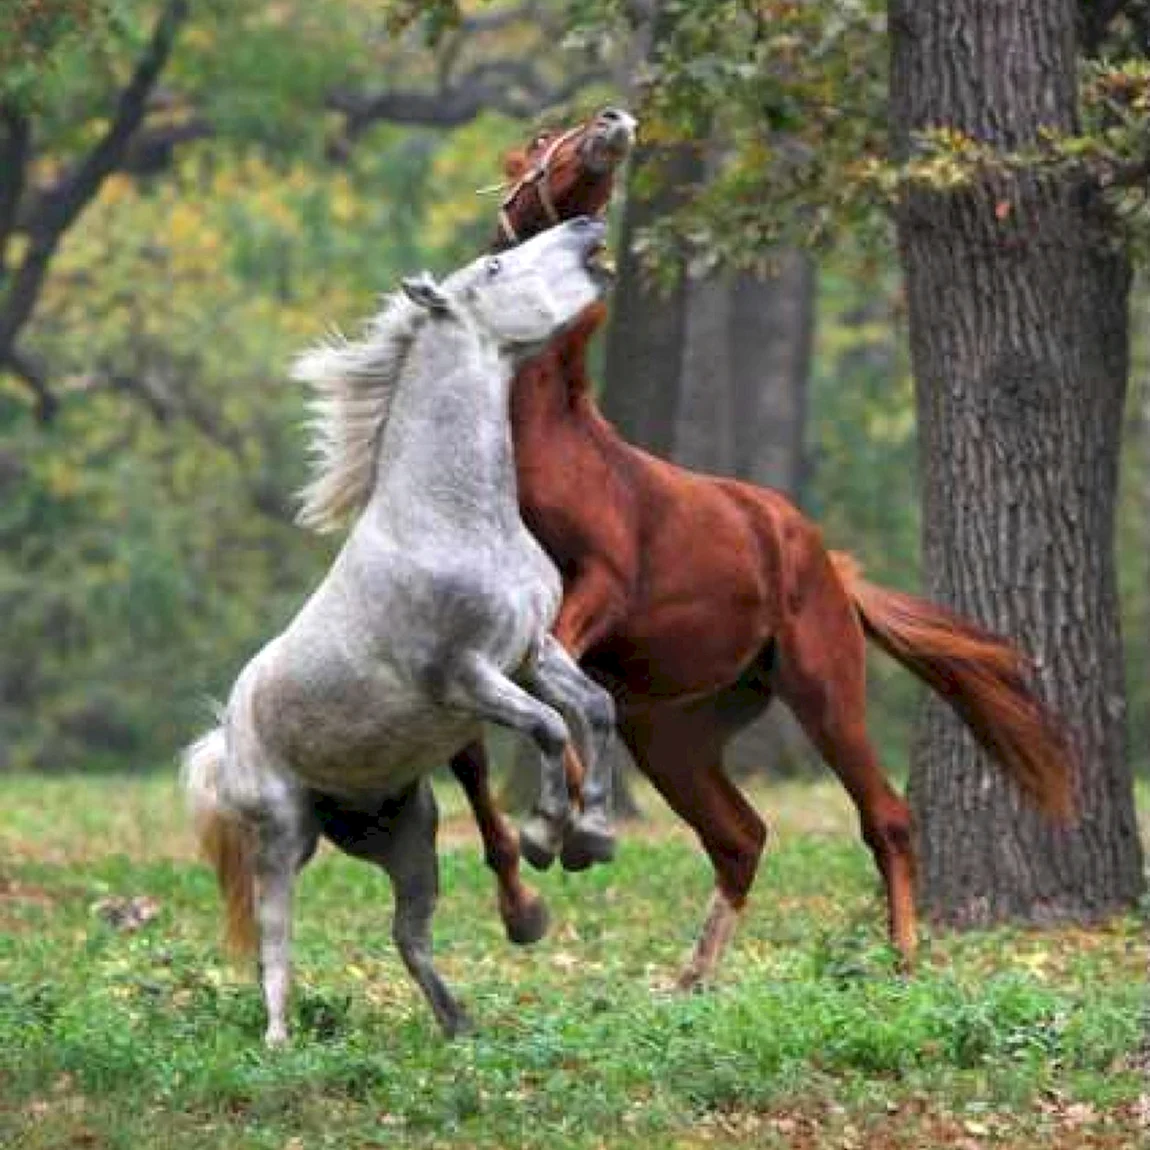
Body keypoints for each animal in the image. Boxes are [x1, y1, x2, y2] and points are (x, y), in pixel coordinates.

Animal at [182, 218, 618, 1045]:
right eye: (495, 264)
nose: (586, 226)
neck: (453, 520)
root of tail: (225, 737)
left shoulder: (531, 651)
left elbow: (597, 709)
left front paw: (595, 834)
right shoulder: (468, 675)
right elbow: (549, 728)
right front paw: (548, 835)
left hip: (410, 835)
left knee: (408, 934)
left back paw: (461, 1025)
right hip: (282, 838)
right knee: (276, 942)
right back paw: (280, 1042)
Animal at [450, 111, 1075, 986]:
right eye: (542, 141)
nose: (616, 122)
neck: (546, 443)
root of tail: (827, 562)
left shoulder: (601, 584)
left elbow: (556, 686)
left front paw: (562, 832)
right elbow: (479, 747)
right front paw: (526, 887)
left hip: (823, 689)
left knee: (884, 817)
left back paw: (902, 958)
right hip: (675, 734)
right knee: (741, 837)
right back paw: (690, 980)